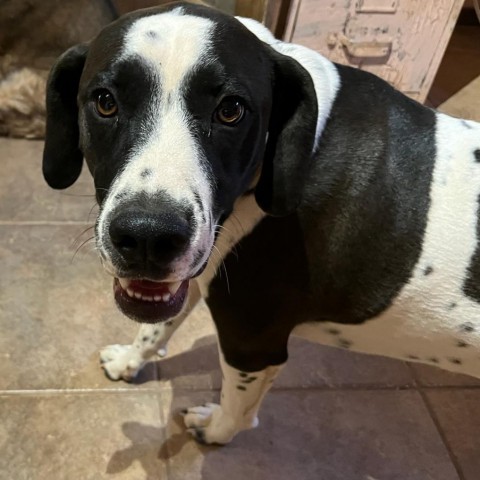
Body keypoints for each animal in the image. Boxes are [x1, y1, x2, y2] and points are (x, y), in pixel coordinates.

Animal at [42, 1, 480, 446]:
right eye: (105, 102)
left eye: (231, 110)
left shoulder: (252, 342)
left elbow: (237, 405)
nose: (148, 236)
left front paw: (216, 430)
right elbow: (158, 326)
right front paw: (131, 359)